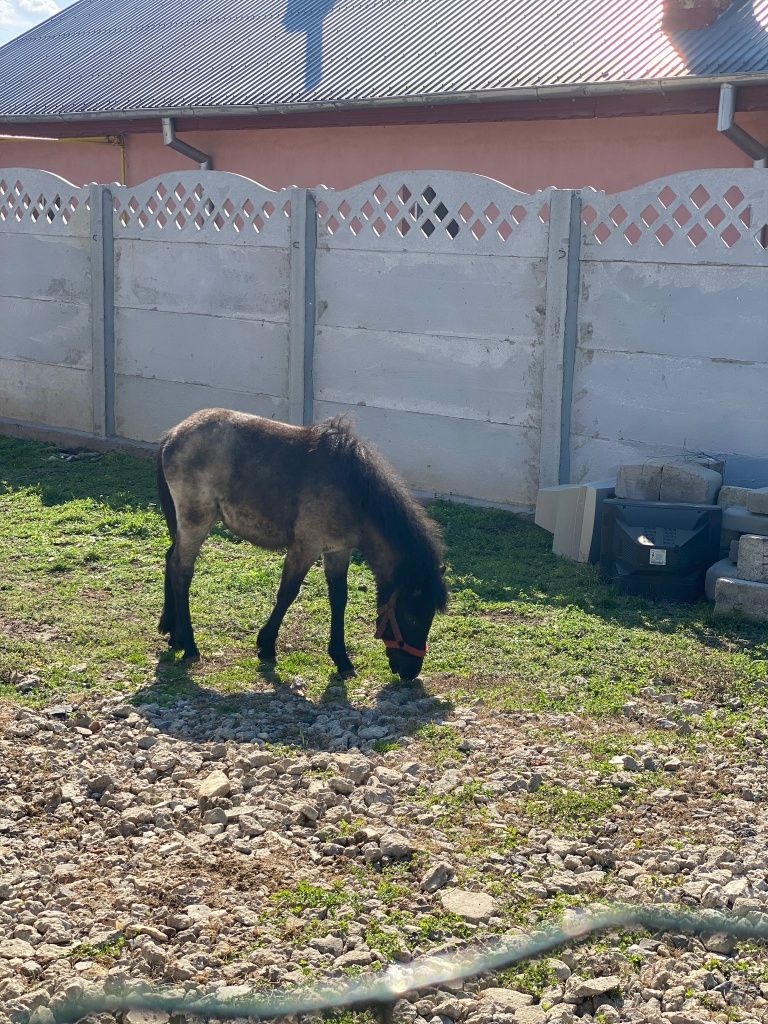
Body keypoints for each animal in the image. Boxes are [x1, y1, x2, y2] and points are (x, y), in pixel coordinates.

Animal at [154, 407, 450, 679]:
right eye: (412, 616)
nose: (411, 671)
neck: (353, 492)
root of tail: (173, 433)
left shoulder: (338, 551)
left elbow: (339, 599)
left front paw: (341, 659)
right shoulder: (305, 548)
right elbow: (288, 593)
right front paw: (266, 644)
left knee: (170, 558)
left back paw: (172, 631)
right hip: (196, 521)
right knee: (182, 570)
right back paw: (189, 644)